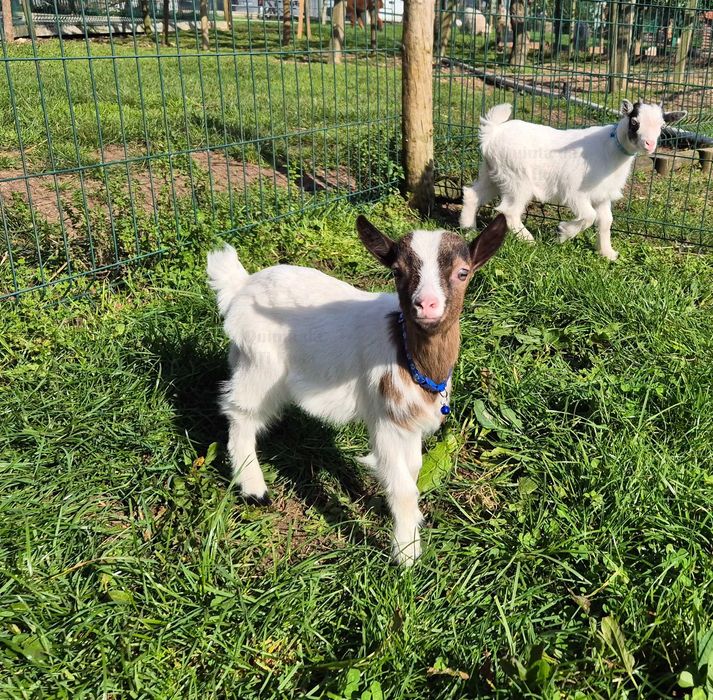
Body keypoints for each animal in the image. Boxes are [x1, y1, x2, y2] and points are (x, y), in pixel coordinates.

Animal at [207, 214, 507, 565]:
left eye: (463, 272)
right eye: (397, 271)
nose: (426, 305)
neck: (406, 354)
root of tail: (241, 285)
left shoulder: (410, 421)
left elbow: (413, 470)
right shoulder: (385, 419)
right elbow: (403, 487)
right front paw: (406, 554)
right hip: (261, 367)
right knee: (240, 412)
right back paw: (254, 489)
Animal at [460, 100, 686, 260]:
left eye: (662, 125)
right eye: (634, 122)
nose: (649, 144)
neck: (612, 149)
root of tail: (492, 133)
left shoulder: (602, 196)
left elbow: (606, 221)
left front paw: (607, 253)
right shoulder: (577, 193)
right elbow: (589, 217)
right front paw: (563, 233)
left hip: (493, 173)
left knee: (472, 194)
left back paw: (468, 229)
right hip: (517, 179)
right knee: (509, 210)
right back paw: (528, 240)